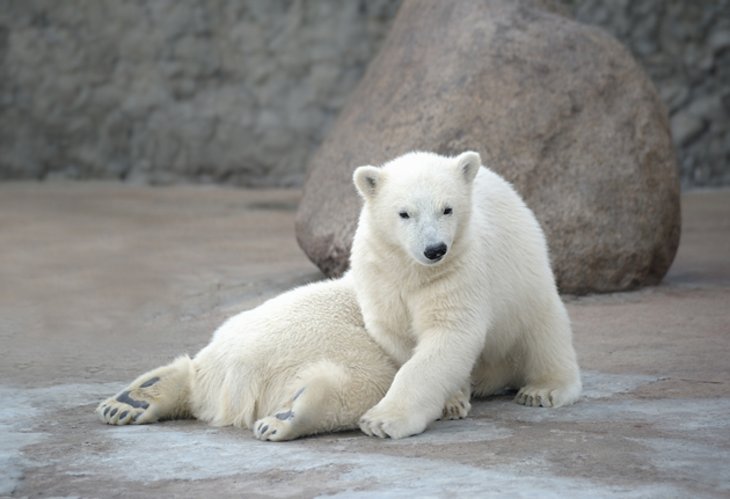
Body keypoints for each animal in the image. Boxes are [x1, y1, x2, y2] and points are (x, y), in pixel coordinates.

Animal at [350, 150, 584, 440]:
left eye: (447, 209)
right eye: (404, 213)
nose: (435, 249)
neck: (412, 269)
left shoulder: (458, 268)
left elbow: (450, 331)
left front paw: (381, 421)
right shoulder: (382, 276)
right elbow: (398, 334)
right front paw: (451, 402)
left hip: (525, 283)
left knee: (544, 332)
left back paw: (543, 390)